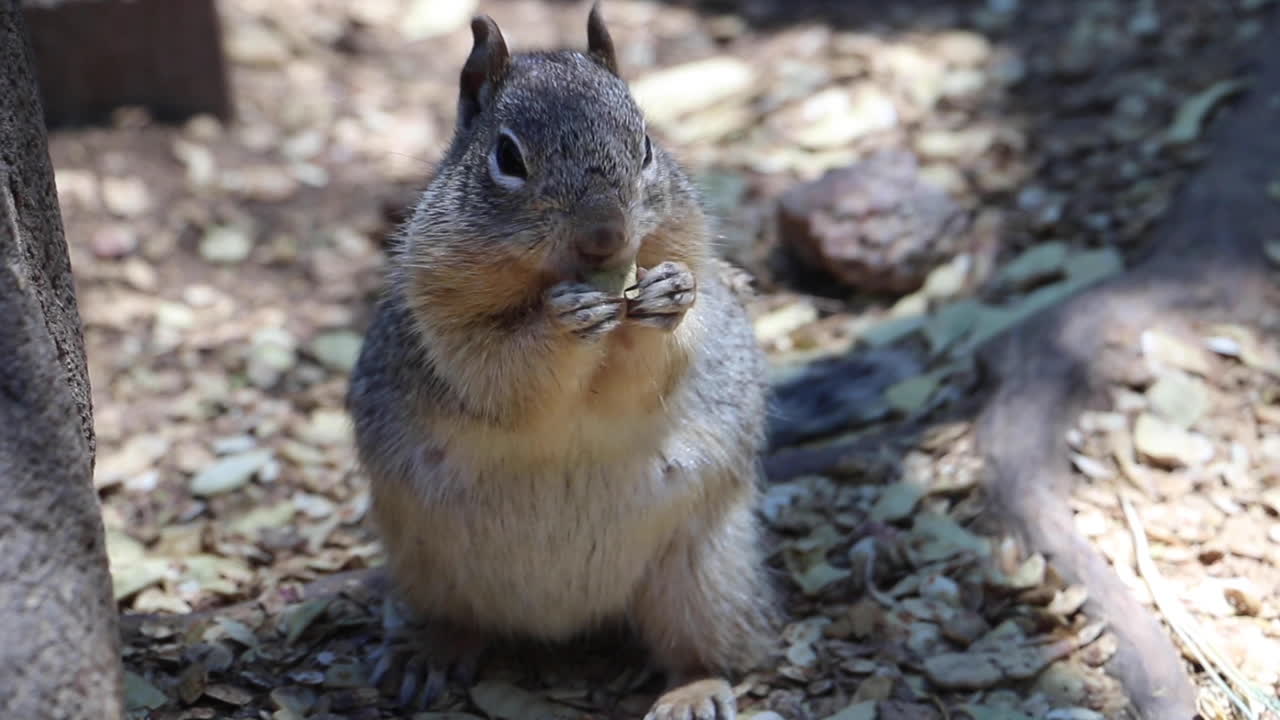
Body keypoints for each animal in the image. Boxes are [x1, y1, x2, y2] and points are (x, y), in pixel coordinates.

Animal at [345, 5, 777, 719]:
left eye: (647, 146)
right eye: (507, 157)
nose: (607, 236)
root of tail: (561, 620)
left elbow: (658, 370)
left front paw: (669, 297)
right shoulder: (442, 323)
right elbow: (498, 372)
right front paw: (560, 321)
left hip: (704, 572)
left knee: (700, 647)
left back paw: (692, 691)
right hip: (428, 565)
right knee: (462, 620)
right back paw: (428, 652)